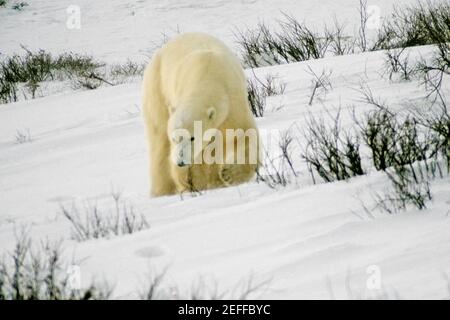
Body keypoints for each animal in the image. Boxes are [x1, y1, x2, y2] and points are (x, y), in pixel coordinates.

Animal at [141, 33, 260, 198]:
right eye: (175, 138)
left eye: (192, 137)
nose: (181, 162)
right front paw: (188, 182)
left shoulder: (233, 102)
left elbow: (244, 133)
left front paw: (229, 174)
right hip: (157, 89)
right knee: (159, 140)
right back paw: (163, 191)